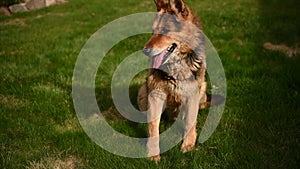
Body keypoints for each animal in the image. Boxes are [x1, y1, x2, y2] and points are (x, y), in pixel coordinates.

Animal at [137, 0, 207, 161]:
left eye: (164, 30)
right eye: (153, 31)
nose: (145, 51)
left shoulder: (193, 93)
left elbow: (190, 122)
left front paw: (188, 145)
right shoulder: (156, 94)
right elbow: (153, 127)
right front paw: (153, 154)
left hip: (203, 89)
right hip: (144, 91)